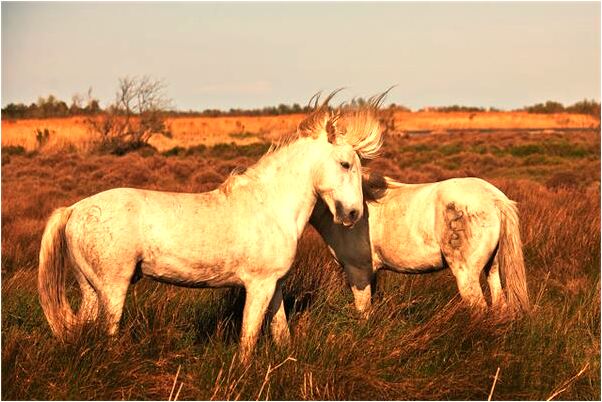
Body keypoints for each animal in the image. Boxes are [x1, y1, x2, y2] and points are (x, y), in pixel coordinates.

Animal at [37, 96, 382, 362]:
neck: (270, 206)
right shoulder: (258, 285)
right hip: (112, 289)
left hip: (90, 289)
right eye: (345, 164)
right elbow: (249, 337)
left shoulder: (274, 285)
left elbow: (280, 330)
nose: (352, 214)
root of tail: (74, 209)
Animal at [308, 173, 528, 318]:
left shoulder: (358, 271)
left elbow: (363, 311)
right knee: (499, 303)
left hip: (466, 274)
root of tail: (495, 198)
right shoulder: (371, 272)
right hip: (493, 266)